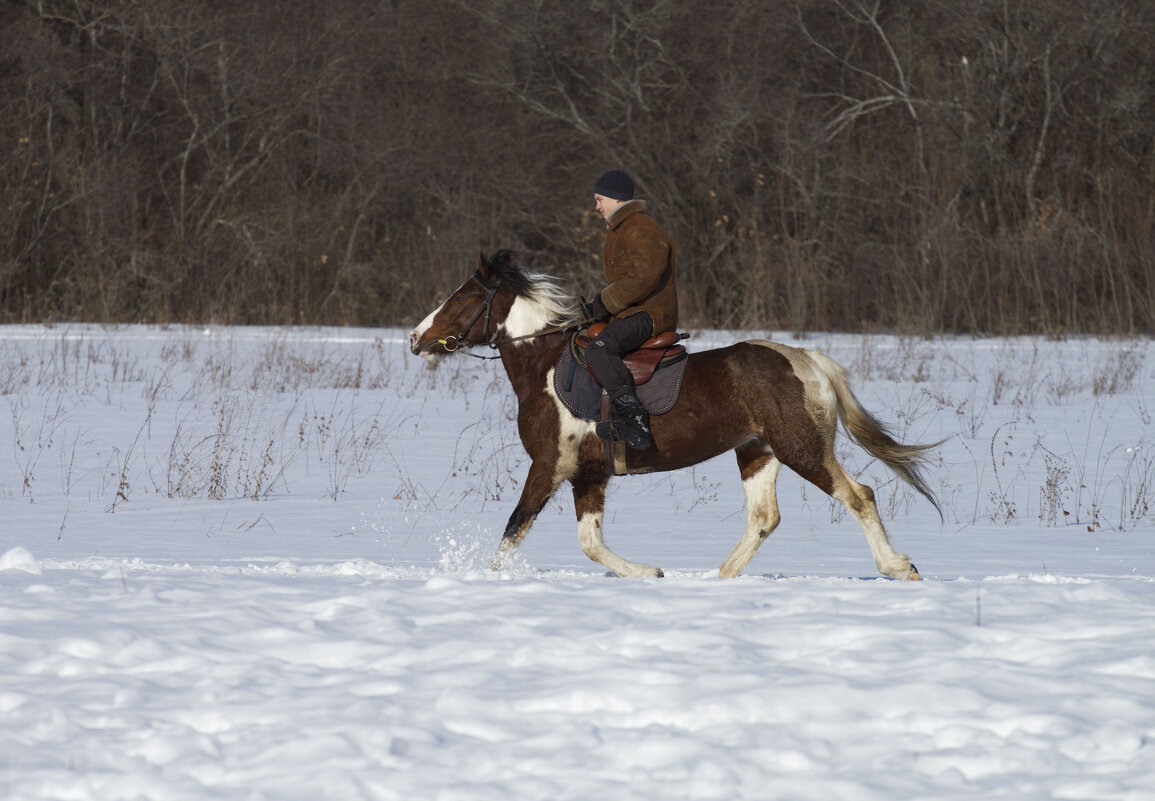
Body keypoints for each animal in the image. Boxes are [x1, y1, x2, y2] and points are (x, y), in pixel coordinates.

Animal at [406, 249, 937, 577]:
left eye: (463, 296)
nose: (415, 338)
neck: (544, 367)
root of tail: (807, 360)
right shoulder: (588, 474)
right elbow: (589, 542)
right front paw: (650, 571)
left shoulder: (549, 465)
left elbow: (513, 531)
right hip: (757, 452)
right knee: (764, 517)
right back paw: (719, 577)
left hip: (801, 449)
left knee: (859, 496)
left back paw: (899, 567)